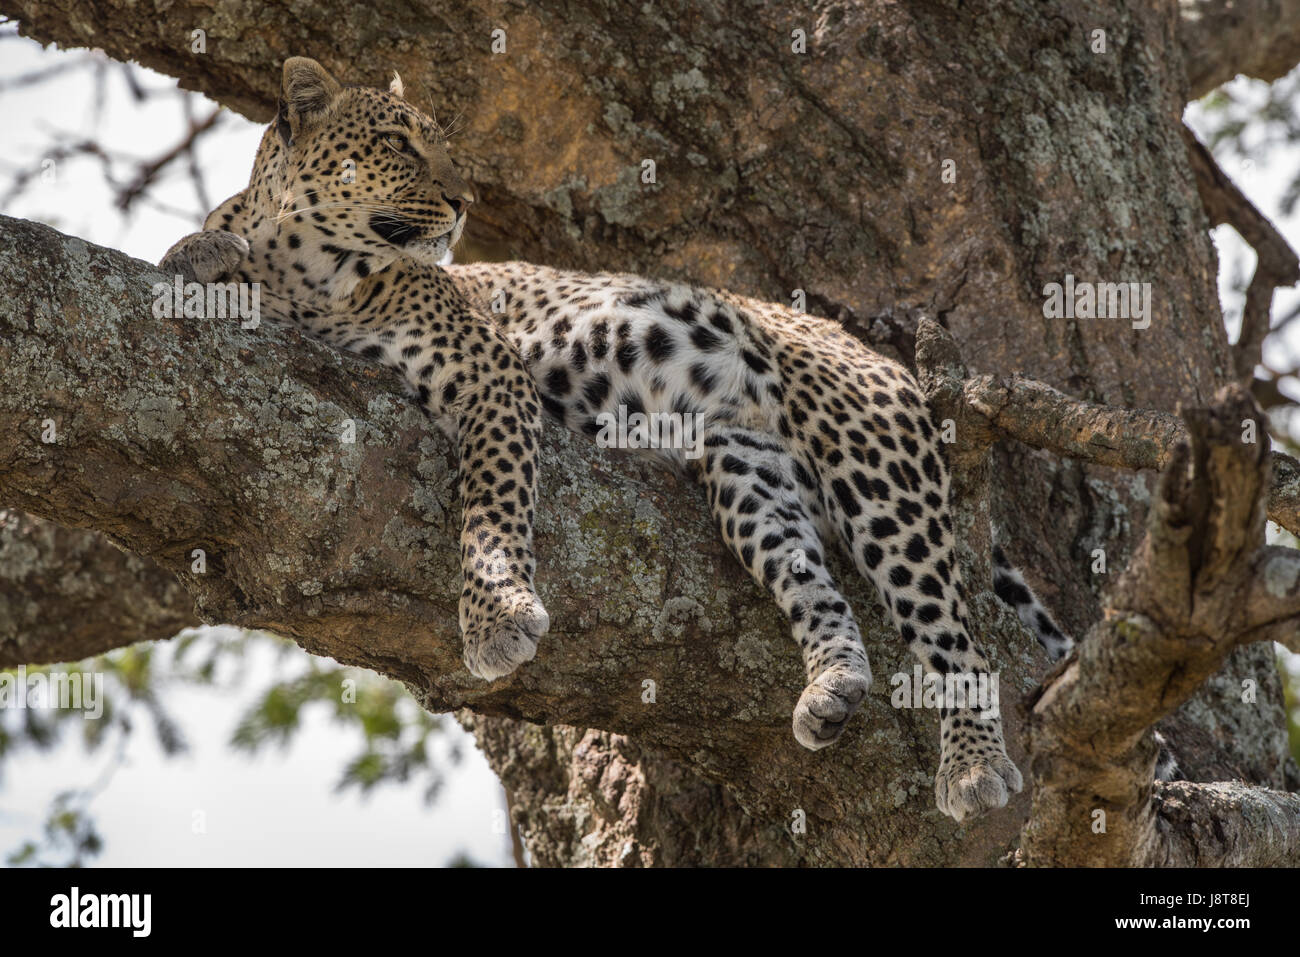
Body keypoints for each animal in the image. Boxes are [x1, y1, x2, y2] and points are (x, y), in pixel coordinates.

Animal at [165, 54, 1138, 821]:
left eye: (437, 143)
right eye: (401, 144)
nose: (465, 200)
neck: (312, 274)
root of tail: (884, 357)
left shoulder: (488, 367)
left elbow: (492, 505)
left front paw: (497, 617)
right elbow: (221, 241)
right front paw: (202, 252)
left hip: (871, 461)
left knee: (953, 635)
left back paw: (972, 765)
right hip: (749, 473)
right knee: (817, 584)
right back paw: (832, 687)